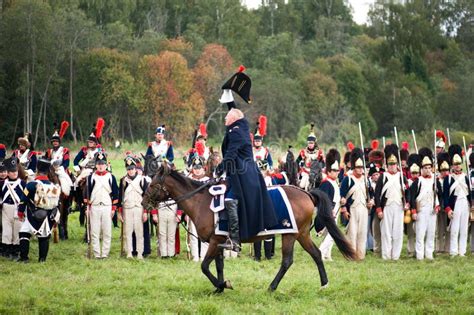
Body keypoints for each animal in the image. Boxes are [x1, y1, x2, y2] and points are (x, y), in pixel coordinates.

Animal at [143, 163, 358, 294]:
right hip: (302, 234)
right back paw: (324, 284)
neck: (201, 201)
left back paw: (272, 287)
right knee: (315, 254)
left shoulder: (214, 242)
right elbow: (218, 266)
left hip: (289, 235)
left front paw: (223, 284)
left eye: (152, 184)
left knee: (287, 261)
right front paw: (219, 288)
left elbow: (204, 266)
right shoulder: (219, 242)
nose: (144, 204)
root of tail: (306, 193)